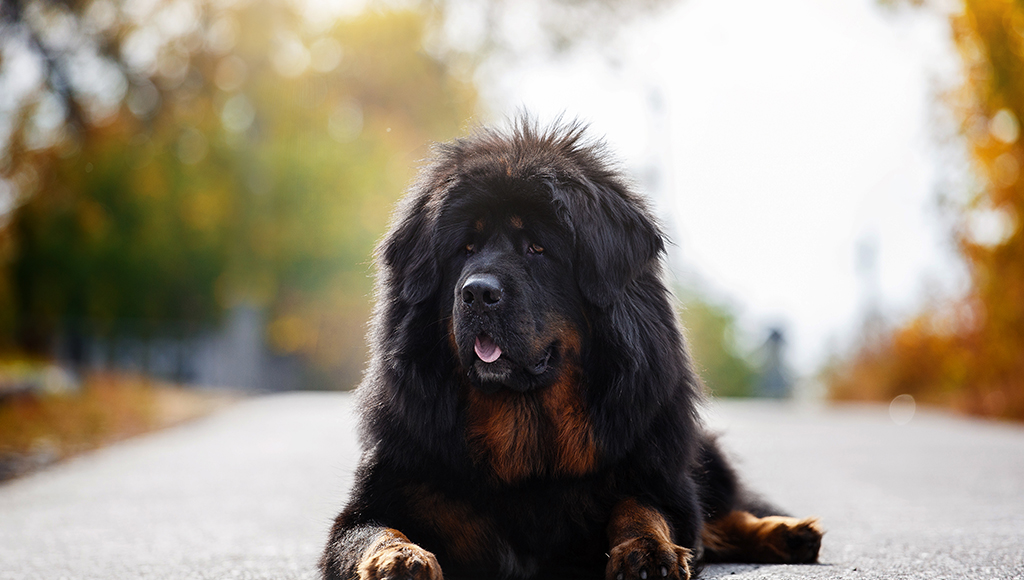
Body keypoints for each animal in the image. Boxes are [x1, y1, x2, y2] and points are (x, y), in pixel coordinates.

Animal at [319, 120, 823, 577]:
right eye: (466, 248)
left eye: (537, 249)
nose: (477, 292)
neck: (525, 433)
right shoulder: (384, 494)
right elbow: (373, 531)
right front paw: (399, 558)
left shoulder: (659, 478)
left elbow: (645, 508)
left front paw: (647, 550)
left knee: (722, 512)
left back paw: (788, 532)